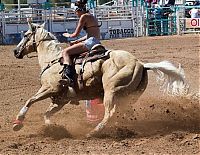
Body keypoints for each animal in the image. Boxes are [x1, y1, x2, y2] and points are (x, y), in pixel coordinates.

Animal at [12, 21, 189, 137]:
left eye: (26, 35)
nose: (15, 51)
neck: (53, 60)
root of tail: (140, 63)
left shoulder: (50, 88)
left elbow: (30, 100)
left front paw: (18, 122)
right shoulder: (60, 99)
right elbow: (47, 114)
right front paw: (54, 128)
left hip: (111, 91)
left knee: (110, 112)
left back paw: (94, 132)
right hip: (128, 96)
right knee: (124, 113)